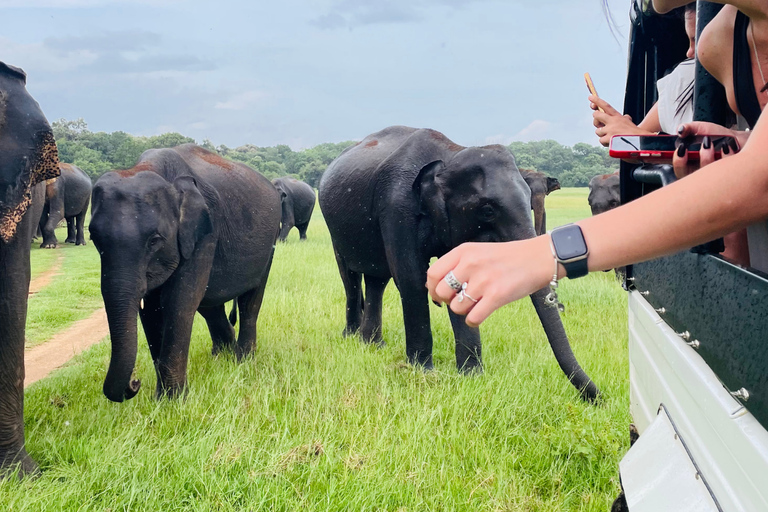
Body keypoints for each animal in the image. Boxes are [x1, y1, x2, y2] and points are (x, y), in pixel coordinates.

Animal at [89, 144, 281, 402]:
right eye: (94, 239)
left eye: (154, 240)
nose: (135, 383)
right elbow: (151, 311)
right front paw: (161, 400)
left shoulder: (204, 233)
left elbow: (179, 302)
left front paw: (174, 401)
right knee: (210, 307)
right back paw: (221, 357)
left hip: (270, 244)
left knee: (250, 300)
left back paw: (242, 360)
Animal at [318, 126, 599, 401]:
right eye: (487, 210)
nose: (597, 398)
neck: (450, 155)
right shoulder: (395, 206)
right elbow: (410, 278)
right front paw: (422, 371)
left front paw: (472, 376)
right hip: (335, 230)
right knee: (350, 278)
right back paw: (352, 338)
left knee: (377, 280)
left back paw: (373, 344)